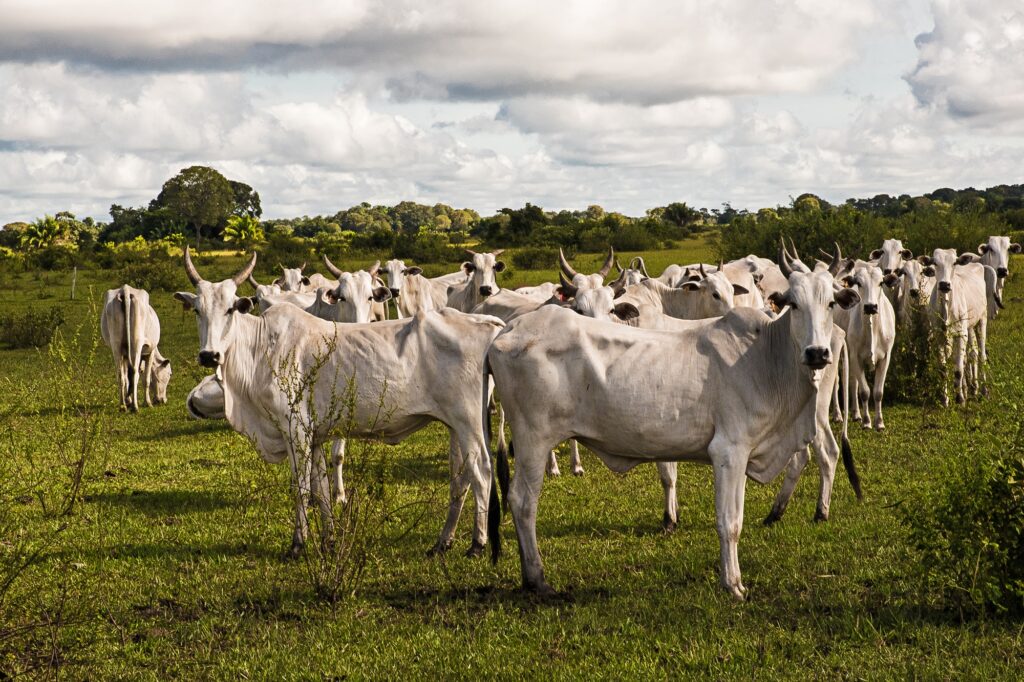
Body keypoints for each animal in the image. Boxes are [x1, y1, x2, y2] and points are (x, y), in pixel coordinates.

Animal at [100, 280, 172, 409]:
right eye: (169, 374)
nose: (163, 400)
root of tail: (125, 290)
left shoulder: (124, 355)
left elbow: (126, 377)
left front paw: (128, 399)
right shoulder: (150, 352)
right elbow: (146, 379)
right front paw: (146, 402)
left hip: (116, 345)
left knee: (120, 374)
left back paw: (123, 405)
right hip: (136, 344)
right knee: (134, 373)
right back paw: (135, 406)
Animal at [180, 246, 507, 557]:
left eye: (230, 309)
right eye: (196, 310)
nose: (209, 355)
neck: (260, 347)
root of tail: (487, 322)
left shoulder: (295, 431)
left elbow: (300, 489)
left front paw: (298, 544)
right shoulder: (314, 436)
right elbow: (321, 490)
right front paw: (329, 540)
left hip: (468, 422)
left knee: (481, 473)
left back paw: (477, 544)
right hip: (457, 426)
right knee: (461, 479)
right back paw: (443, 542)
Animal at [487, 264, 864, 593]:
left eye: (831, 303)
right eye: (794, 304)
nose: (817, 353)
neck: (765, 356)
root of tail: (505, 333)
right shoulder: (729, 452)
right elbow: (729, 522)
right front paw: (733, 584)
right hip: (533, 441)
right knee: (522, 501)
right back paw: (536, 578)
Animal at [835, 260, 892, 430]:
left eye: (881, 282)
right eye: (859, 283)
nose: (870, 306)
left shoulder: (886, 358)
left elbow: (878, 392)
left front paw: (879, 422)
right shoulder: (855, 357)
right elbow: (865, 392)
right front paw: (867, 422)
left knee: (852, 382)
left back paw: (856, 414)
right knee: (838, 381)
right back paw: (839, 415)